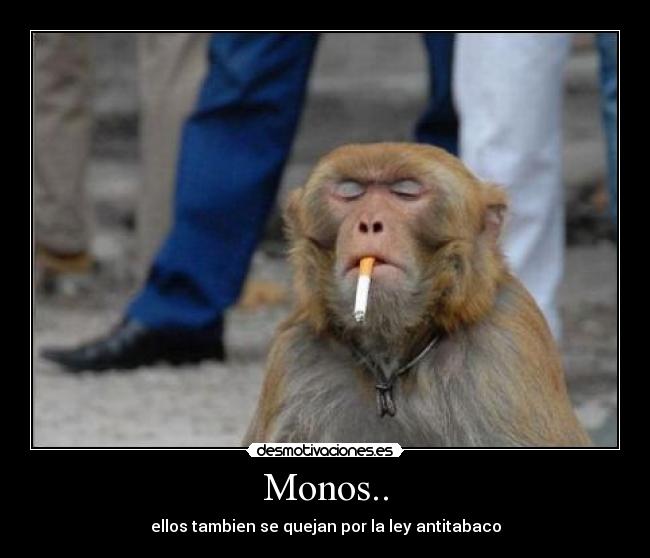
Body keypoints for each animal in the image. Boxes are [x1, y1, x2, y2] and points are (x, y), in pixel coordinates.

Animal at [243, 143, 591, 447]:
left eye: (406, 191)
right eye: (350, 192)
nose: (369, 223)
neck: (392, 364)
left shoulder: (507, 343)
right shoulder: (296, 358)